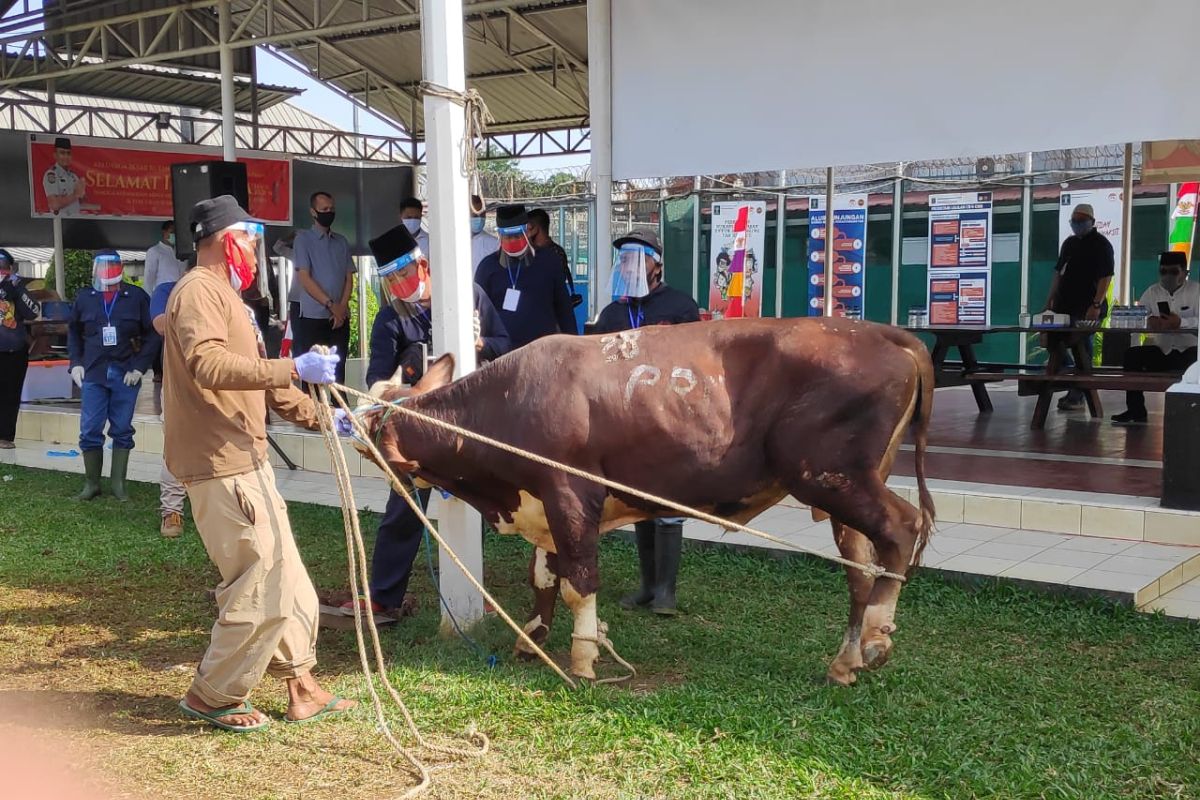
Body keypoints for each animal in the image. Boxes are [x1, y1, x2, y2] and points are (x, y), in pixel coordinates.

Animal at [360, 316, 931, 686]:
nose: (346, 424)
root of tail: (881, 332)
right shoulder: (541, 503)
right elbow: (543, 577)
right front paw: (533, 639)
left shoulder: (570, 492)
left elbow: (579, 582)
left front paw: (583, 660)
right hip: (842, 494)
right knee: (861, 571)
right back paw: (845, 663)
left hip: (833, 477)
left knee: (903, 527)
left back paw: (877, 637)